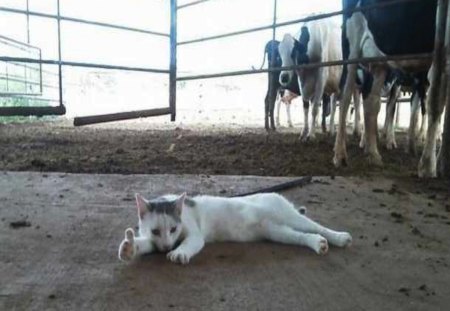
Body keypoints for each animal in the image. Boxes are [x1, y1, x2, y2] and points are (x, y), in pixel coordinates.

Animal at [118, 194, 352, 264]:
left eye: (174, 229)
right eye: (156, 232)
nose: (167, 247)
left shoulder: (194, 235)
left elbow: (189, 243)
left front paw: (179, 252)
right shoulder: (152, 241)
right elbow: (145, 244)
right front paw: (129, 248)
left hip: (290, 217)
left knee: (317, 226)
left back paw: (339, 237)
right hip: (278, 232)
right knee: (303, 236)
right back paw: (318, 243)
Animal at [336, 0, 442, 178]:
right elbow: (434, 103)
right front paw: (428, 165)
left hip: (378, 61)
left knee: (371, 102)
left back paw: (373, 153)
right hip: (352, 49)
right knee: (346, 96)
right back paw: (340, 155)